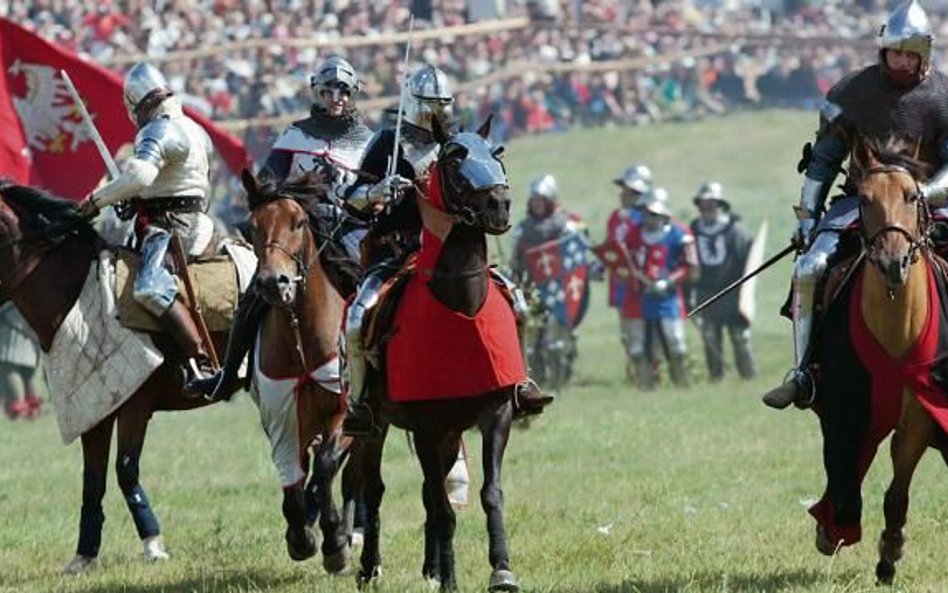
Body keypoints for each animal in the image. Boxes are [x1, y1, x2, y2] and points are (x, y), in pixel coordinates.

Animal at [0, 182, 226, 572]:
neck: (75, 293)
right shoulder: (95, 411)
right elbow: (93, 480)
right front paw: (84, 554)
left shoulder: (134, 407)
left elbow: (126, 470)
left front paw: (153, 545)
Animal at [241, 170, 360, 568]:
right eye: (252, 227)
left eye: (299, 222)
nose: (272, 282)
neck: (301, 338)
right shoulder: (281, 419)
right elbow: (293, 477)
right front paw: (300, 536)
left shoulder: (346, 413)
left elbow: (325, 466)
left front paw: (334, 542)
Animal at [354, 117, 524, 592]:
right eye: (454, 158)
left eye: (497, 152)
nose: (499, 206)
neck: (461, 305)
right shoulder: (427, 426)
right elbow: (443, 508)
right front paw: (452, 580)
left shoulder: (495, 413)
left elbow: (489, 493)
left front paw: (501, 570)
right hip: (374, 427)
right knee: (374, 488)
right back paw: (369, 568)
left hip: (450, 434)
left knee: (432, 495)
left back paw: (432, 567)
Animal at [804, 140, 948, 588]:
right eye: (864, 200)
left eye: (912, 196)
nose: (892, 263)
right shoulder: (844, 409)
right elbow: (844, 479)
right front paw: (830, 530)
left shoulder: (918, 419)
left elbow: (896, 494)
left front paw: (889, 555)